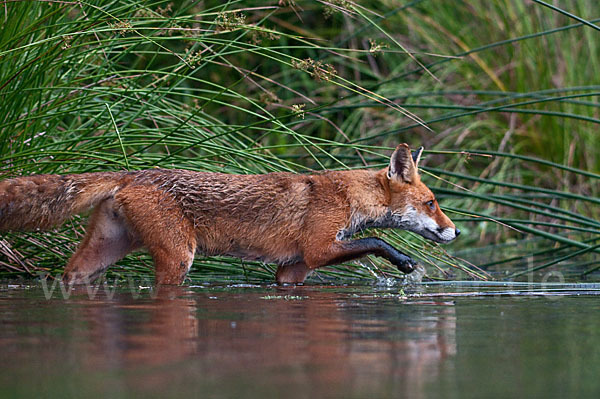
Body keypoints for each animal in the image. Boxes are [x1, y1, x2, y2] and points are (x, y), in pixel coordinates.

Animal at [0, 145, 460, 286]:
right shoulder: (318, 248)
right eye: (431, 203)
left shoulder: (292, 269)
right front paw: (404, 262)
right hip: (178, 258)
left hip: (101, 253)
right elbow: (377, 239)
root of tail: (133, 173)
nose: (454, 232)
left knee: (71, 277)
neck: (349, 196)